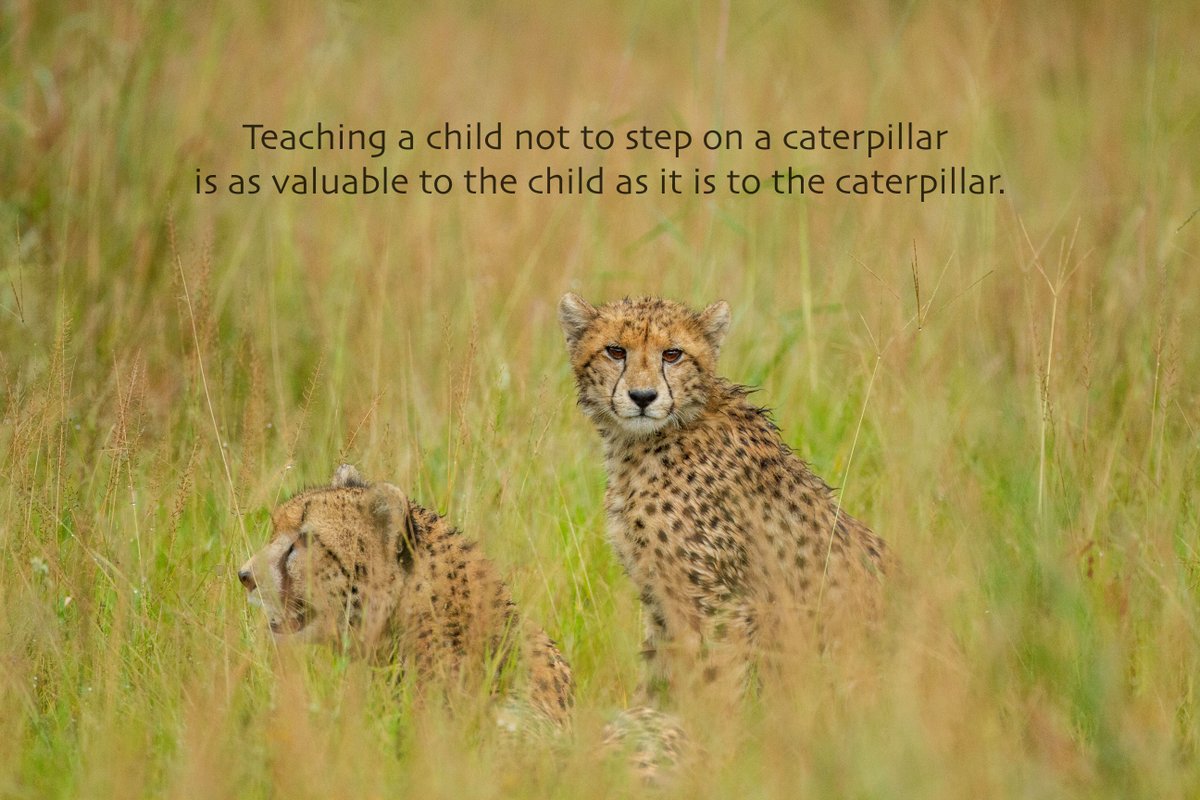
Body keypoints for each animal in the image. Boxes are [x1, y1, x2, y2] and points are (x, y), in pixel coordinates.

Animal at [558, 293, 889, 705]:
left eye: (672, 354)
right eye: (615, 351)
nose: (643, 397)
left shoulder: (721, 605)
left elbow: (718, 684)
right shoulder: (663, 602)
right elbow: (658, 676)